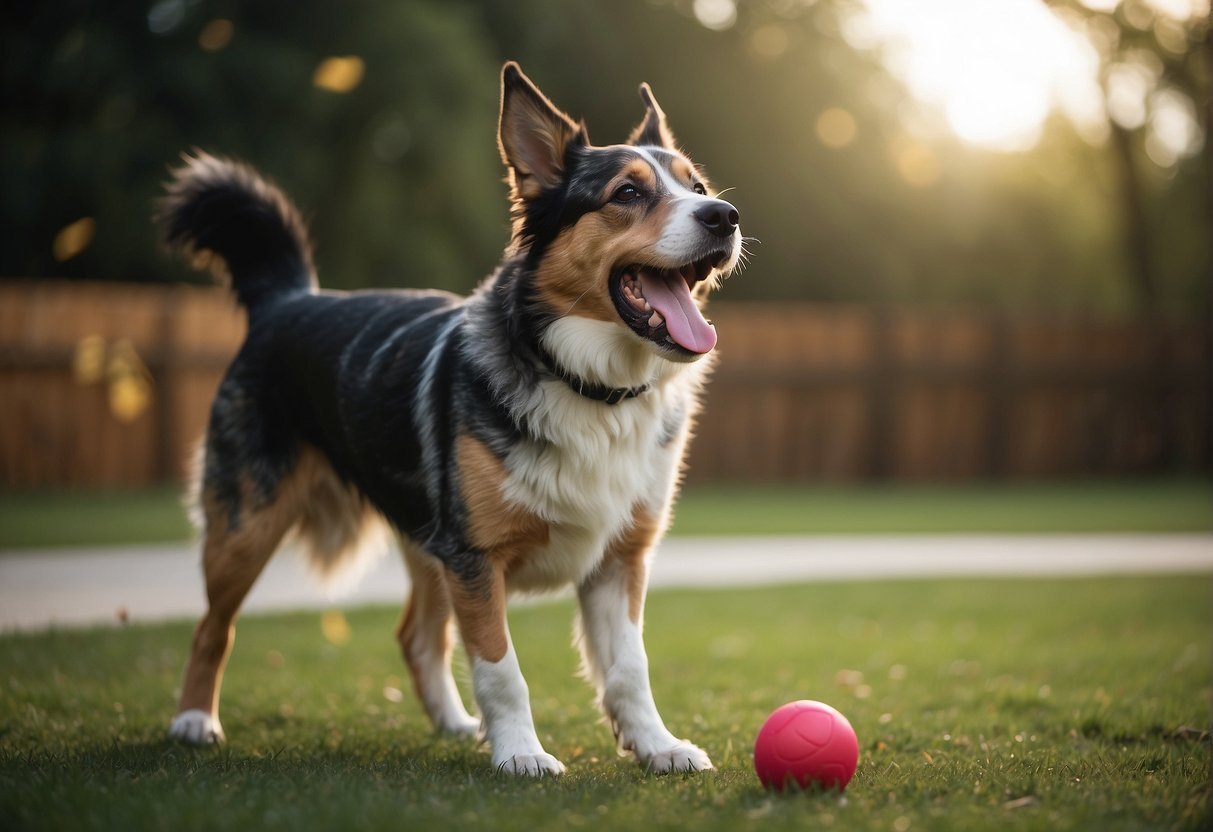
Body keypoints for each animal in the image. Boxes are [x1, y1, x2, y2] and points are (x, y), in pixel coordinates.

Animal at [161, 61, 742, 781]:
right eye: (627, 193)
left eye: (697, 187)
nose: (725, 216)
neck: (586, 385)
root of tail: (286, 299)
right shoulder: (474, 557)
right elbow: (500, 667)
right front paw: (521, 753)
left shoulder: (617, 558)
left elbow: (629, 668)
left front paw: (657, 745)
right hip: (246, 527)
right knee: (211, 628)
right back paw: (194, 719)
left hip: (428, 542)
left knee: (414, 636)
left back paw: (454, 723)